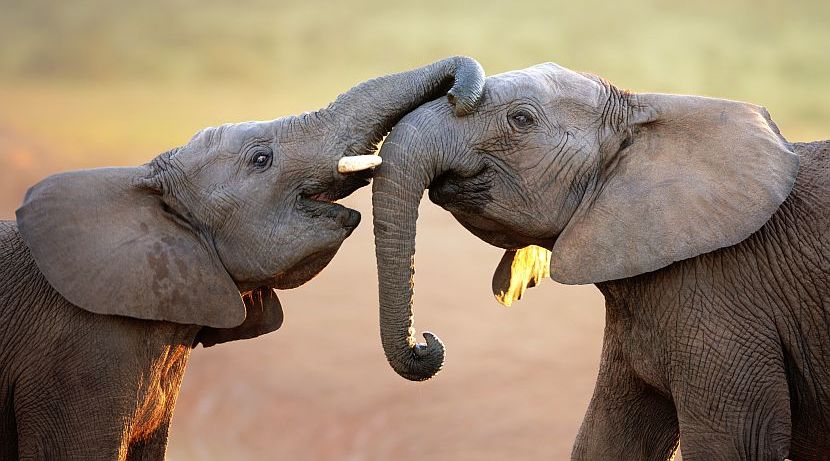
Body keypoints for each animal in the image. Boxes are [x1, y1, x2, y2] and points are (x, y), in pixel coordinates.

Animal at [371, 62, 830, 460]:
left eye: (521, 119)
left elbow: (733, 445)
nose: (426, 342)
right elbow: (606, 440)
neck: (643, 114)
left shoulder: (723, 295)